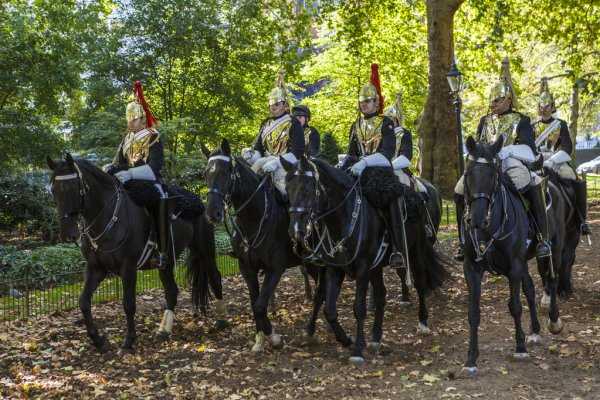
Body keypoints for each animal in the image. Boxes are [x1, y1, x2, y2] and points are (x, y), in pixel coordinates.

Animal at [47, 153, 225, 350]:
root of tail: (198, 201)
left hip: (204, 249)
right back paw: (164, 330)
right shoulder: (96, 268)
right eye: (53, 190)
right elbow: (84, 302)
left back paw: (221, 320)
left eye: (74, 188)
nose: (67, 234)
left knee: (215, 277)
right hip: (167, 263)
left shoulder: (129, 267)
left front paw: (129, 340)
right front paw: (97, 339)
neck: (109, 217)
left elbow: (128, 304)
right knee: (172, 291)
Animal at [203, 139, 324, 352]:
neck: (255, 217)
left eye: (226, 172)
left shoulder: (275, 268)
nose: (212, 213)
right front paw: (259, 340)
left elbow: (260, 305)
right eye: (206, 173)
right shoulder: (247, 268)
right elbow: (255, 303)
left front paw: (273, 337)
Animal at [282, 157, 446, 366]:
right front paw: (345, 339)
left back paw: (423, 322)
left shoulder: (362, 269)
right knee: (381, 295)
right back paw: (376, 337)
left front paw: (358, 349)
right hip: (376, 267)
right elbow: (329, 309)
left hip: (415, 252)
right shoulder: (335, 268)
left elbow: (358, 308)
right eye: (287, 189)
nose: (296, 231)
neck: (344, 218)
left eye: (308, 188)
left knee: (420, 282)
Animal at [462, 137, 564, 376]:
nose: (477, 219)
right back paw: (534, 331)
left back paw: (553, 321)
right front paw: (471, 358)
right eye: (468, 173)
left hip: (553, 250)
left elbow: (515, 305)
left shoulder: (514, 266)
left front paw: (520, 347)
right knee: (531, 289)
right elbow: (473, 312)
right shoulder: (472, 268)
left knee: (552, 280)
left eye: (493, 174)